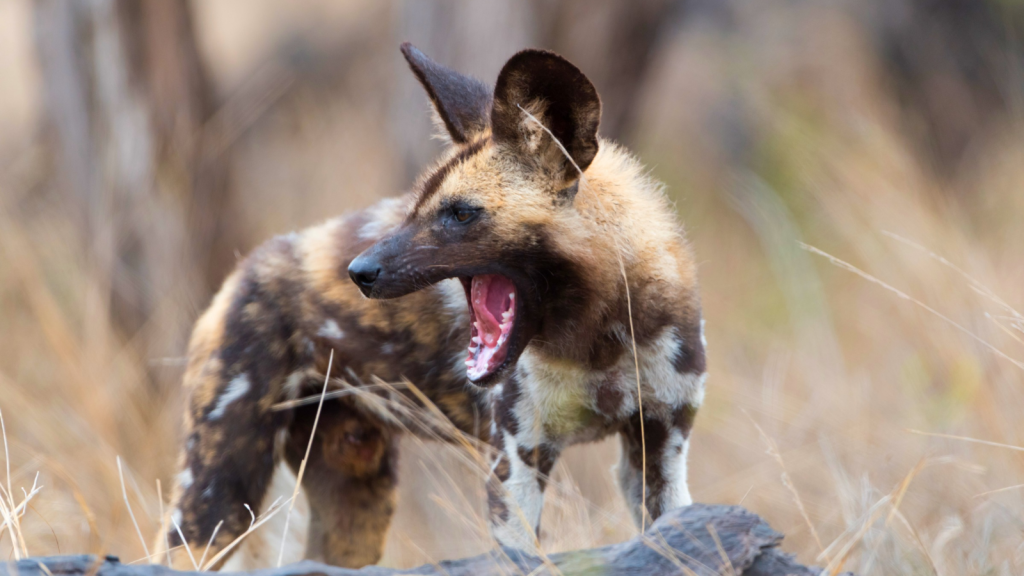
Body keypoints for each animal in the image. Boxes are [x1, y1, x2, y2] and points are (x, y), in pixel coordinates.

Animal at [157, 43, 704, 565]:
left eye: (460, 214)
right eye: (414, 207)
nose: (358, 271)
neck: (601, 338)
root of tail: (243, 269)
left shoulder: (660, 450)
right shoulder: (517, 461)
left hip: (356, 498)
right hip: (217, 495)